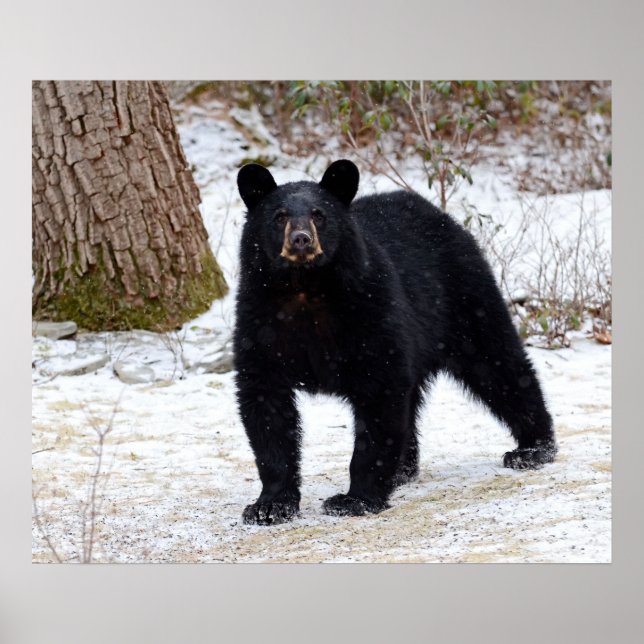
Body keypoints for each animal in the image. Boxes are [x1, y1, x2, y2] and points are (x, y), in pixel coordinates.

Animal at [234, 159, 556, 525]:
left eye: (319, 214)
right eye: (279, 216)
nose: (301, 240)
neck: (305, 287)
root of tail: (436, 212)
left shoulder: (370, 309)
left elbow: (379, 395)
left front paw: (354, 499)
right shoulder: (259, 318)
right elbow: (265, 402)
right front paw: (269, 506)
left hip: (463, 297)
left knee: (498, 362)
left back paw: (532, 448)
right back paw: (403, 469)